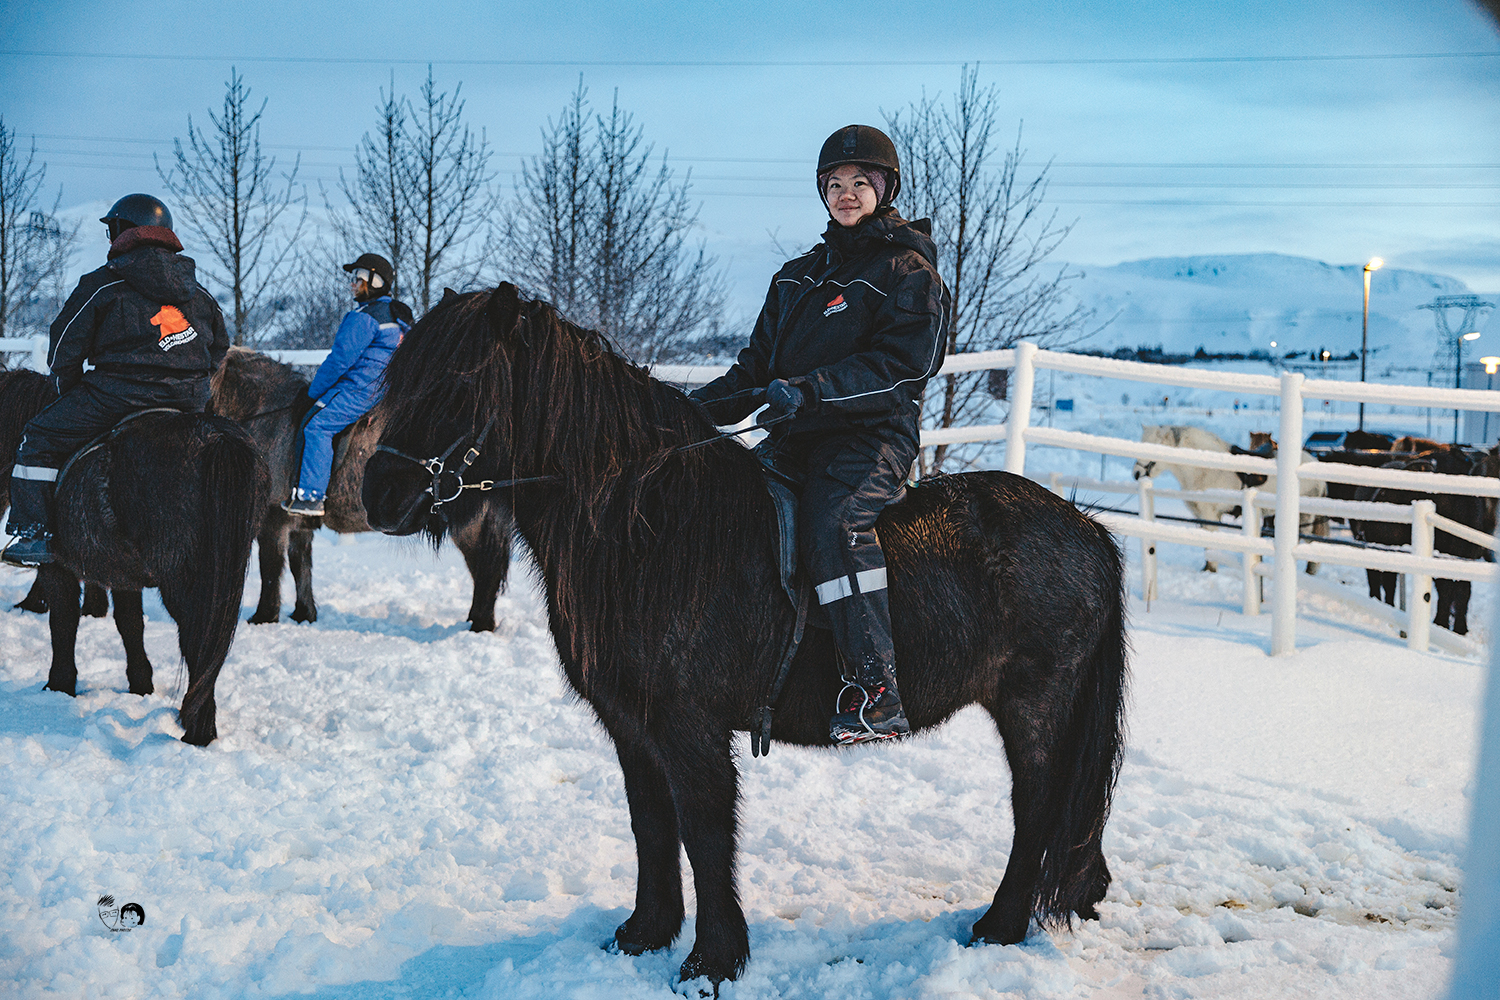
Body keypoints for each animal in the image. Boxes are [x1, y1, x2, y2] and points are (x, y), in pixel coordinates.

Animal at [208, 347, 516, 629]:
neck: (269, 417)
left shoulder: (273, 518)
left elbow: (270, 568)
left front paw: (264, 617)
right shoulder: (298, 522)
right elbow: (300, 565)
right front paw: (303, 614)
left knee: (485, 567)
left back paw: (479, 625)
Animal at [360, 284, 1128, 989]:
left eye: (459, 383)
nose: (377, 494)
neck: (651, 529)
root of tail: (1087, 528)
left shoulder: (689, 726)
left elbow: (704, 833)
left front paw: (712, 961)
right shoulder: (632, 725)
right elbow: (651, 824)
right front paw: (645, 933)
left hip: (1036, 704)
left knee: (1037, 807)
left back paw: (1000, 925)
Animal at [1128, 425, 1332, 575]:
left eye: (1150, 446)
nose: (1136, 474)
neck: (1205, 467)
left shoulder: (1209, 515)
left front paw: (1211, 570)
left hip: (1305, 517)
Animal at [1350, 446, 1500, 632]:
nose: (1365, 523)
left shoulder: (1466, 557)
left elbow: (1462, 591)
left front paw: (1459, 627)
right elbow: (1446, 590)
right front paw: (1441, 623)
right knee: (1380, 580)